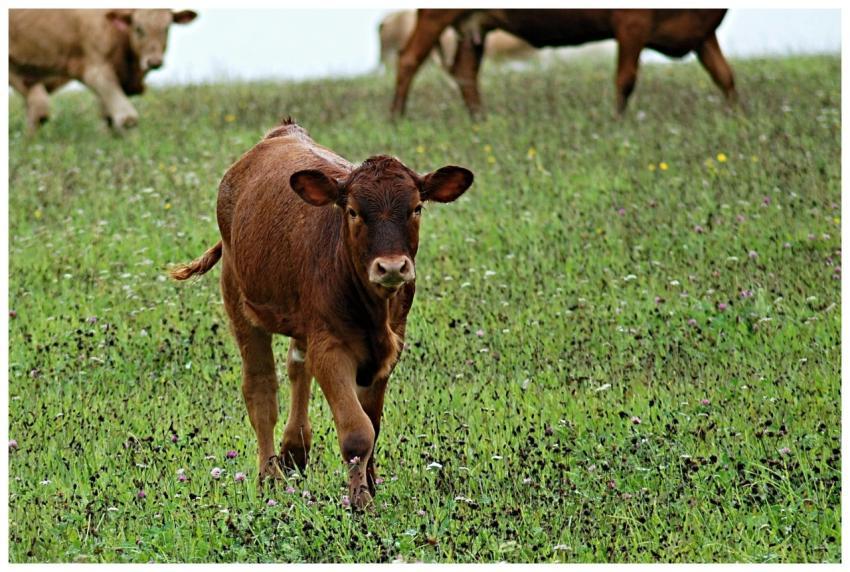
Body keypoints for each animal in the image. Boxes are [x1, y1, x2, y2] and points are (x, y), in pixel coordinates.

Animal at [9, 9, 197, 132]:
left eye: (166, 28)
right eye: (138, 28)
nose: (154, 61)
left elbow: (109, 118)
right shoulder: (96, 70)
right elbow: (127, 118)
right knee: (38, 109)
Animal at [170, 119, 474, 509]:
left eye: (417, 208)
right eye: (354, 211)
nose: (392, 267)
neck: (373, 310)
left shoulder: (390, 346)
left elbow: (373, 422)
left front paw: (370, 483)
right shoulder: (331, 346)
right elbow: (358, 431)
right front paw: (361, 501)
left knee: (297, 366)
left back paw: (294, 450)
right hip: (238, 297)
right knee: (261, 389)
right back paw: (270, 475)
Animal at [391, 9, 737, 118]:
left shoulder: (704, 33)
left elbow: (725, 76)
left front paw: (737, 117)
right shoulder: (631, 23)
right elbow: (626, 79)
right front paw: (618, 122)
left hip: (474, 26)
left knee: (465, 73)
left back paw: (480, 120)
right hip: (436, 14)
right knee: (408, 59)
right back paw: (396, 117)